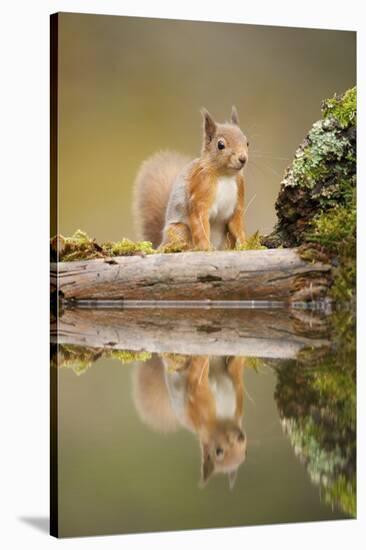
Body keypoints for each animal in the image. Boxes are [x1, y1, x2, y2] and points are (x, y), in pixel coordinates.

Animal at [132, 106, 249, 252]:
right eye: (220, 145)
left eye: (247, 142)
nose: (243, 159)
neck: (225, 175)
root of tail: (162, 241)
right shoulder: (200, 193)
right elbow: (200, 225)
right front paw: (205, 247)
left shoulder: (238, 198)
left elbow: (237, 226)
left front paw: (245, 244)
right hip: (180, 231)